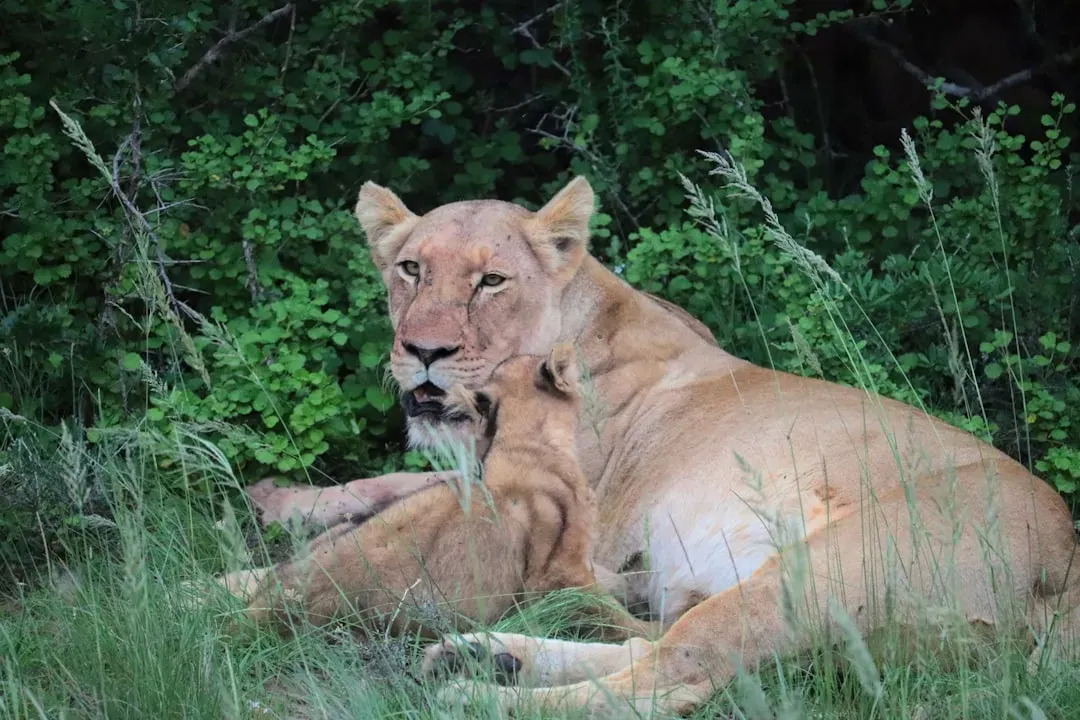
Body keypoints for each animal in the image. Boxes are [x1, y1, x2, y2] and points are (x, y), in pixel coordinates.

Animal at [230, 343, 654, 644]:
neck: (523, 440)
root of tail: (265, 607)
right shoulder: (559, 577)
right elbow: (614, 619)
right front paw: (649, 634)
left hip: (333, 534)